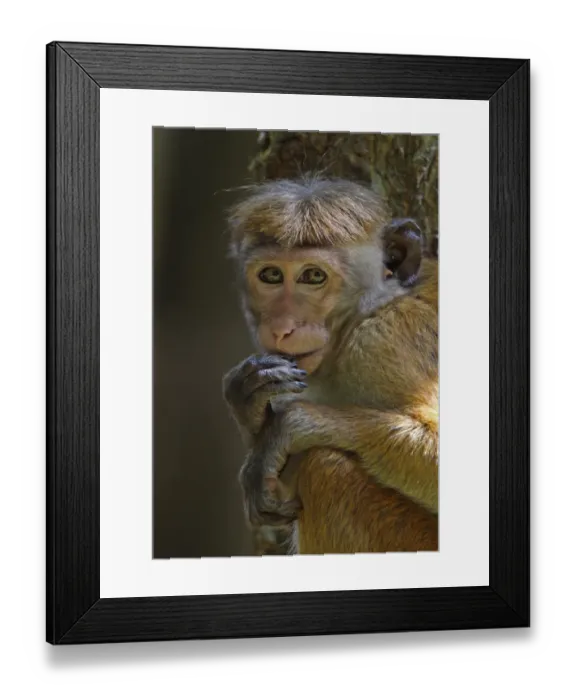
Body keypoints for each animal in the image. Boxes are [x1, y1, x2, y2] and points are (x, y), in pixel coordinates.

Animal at [222, 175, 438, 553]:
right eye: (271, 275)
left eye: (312, 276)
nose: (282, 327)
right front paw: (249, 403)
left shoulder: (385, 343)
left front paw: (287, 428)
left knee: (325, 470)